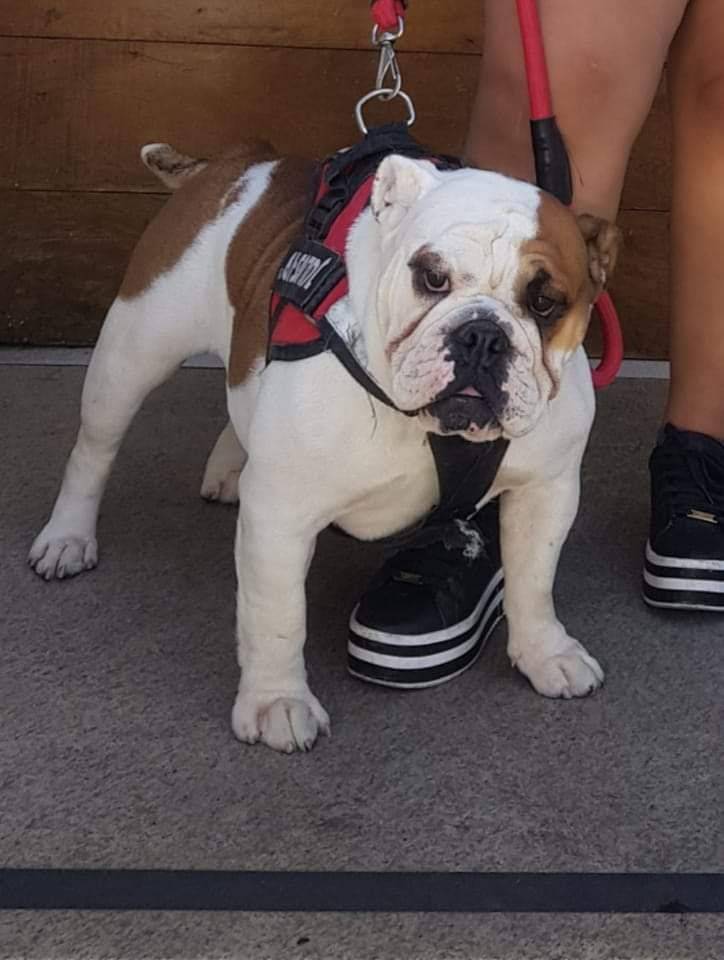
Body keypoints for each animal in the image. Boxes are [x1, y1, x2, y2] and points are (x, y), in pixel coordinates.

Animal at [29, 139, 619, 753]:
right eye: (432, 277)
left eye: (546, 303)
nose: (482, 336)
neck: (430, 425)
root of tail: (228, 166)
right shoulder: (281, 515)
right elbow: (278, 615)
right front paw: (276, 702)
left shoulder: (546, 491)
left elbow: (533, 580)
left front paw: (545, 652)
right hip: (132, 352)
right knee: (94, 450)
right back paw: (67, 537)